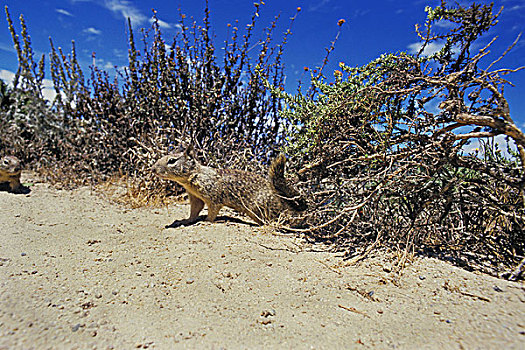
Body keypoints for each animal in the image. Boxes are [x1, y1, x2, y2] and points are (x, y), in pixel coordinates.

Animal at [151, 146, 304, 226]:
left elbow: (212, 211)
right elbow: (195, 211)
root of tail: (282, 200)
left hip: (259, 209)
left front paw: (206, 221)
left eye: (172, 161)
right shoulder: (196, 198)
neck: (195, 175)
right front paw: (186, 220)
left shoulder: (213, 198)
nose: (152, 169)